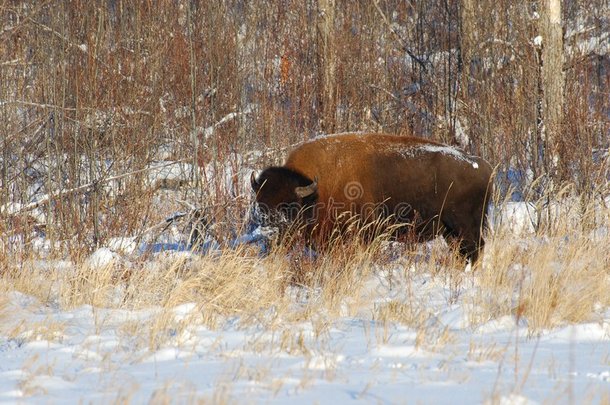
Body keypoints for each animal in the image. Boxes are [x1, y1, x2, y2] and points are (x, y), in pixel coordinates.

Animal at [249, 133, 492, 262]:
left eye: (289, 205)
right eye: (261, 205)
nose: (268, 230)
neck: (314, 193)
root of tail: (483, 167)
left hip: (465, 226)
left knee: (476, 248)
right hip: (450, 232)